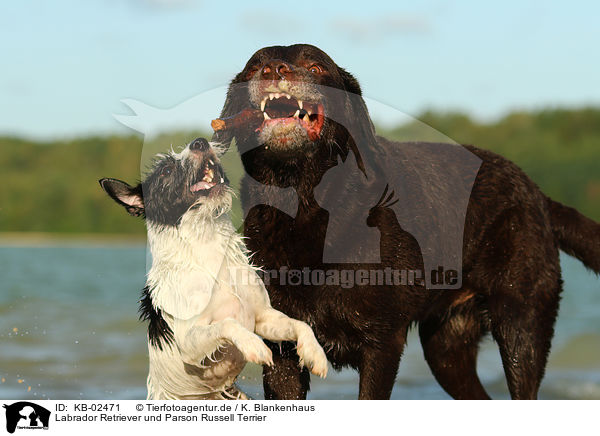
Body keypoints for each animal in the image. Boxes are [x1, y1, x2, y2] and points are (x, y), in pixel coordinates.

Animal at [102, 138, 328, 400]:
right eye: (166, 170)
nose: (199, 142)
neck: (208, 246)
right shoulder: (188, 343)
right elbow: (227, 324)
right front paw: (254, 345)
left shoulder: (263, 317)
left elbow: (301, 324)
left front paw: (315, 354)